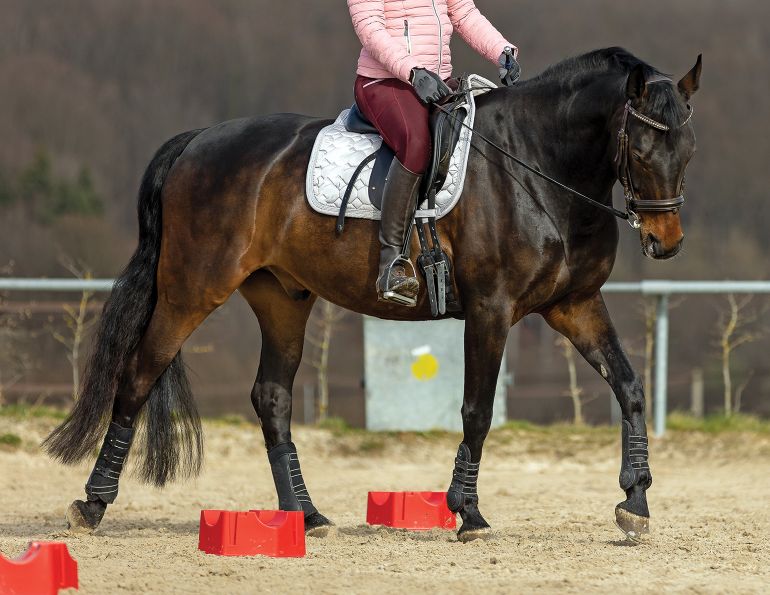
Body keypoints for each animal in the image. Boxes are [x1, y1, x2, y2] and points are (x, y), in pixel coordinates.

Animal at [43, 47, 701, 542]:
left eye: (687, 149)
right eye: (640, 149)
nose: (665, 242)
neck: (536, 167)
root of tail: (200, 140)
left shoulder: (575, 305)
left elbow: (630, 387)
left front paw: (636, 504)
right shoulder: (491, 310)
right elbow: (477, 409)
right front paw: (468, 512)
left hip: (282, 298)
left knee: (272, 398)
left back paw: (305, 515)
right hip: (191, 290)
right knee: (138, 374)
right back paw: (92, 505)